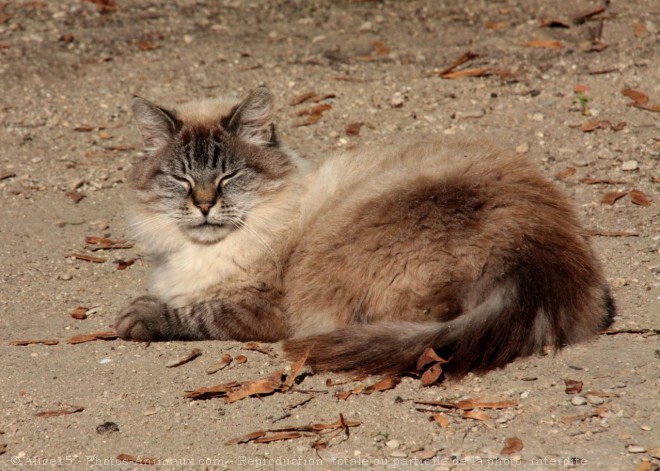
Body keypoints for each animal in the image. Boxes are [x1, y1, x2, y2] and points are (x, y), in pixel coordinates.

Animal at [116, 86, 616, 378]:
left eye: (228, 177)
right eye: (181, 179)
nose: (203, 205)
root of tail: (529, 263)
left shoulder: (263, 308)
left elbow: (197, 313)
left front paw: (137, 316)